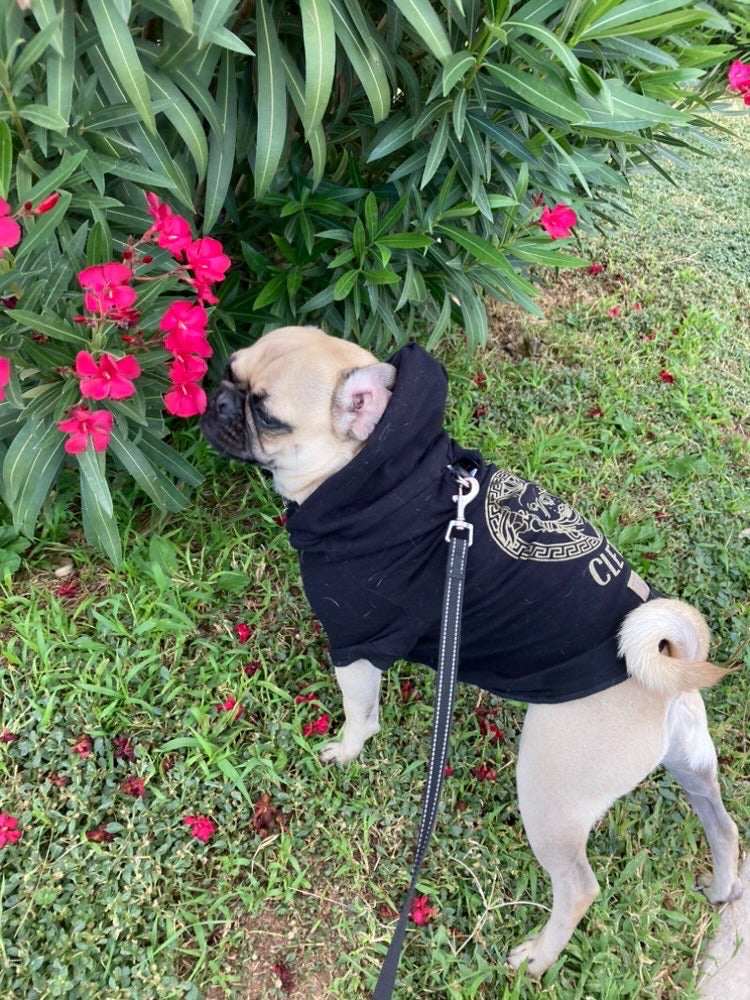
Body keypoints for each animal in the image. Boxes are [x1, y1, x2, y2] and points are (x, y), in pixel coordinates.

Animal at [203, 326, 744, 976]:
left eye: (266, 415)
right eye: (229, 370)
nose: (217, 400)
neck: (372, 473)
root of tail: (664, 670)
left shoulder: (357, 647)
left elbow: (361, 715)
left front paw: (346, 751)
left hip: (550, 792)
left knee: (578, 886)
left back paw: (537, 957)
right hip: (691, 765)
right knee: (724, 825)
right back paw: (722, 887)